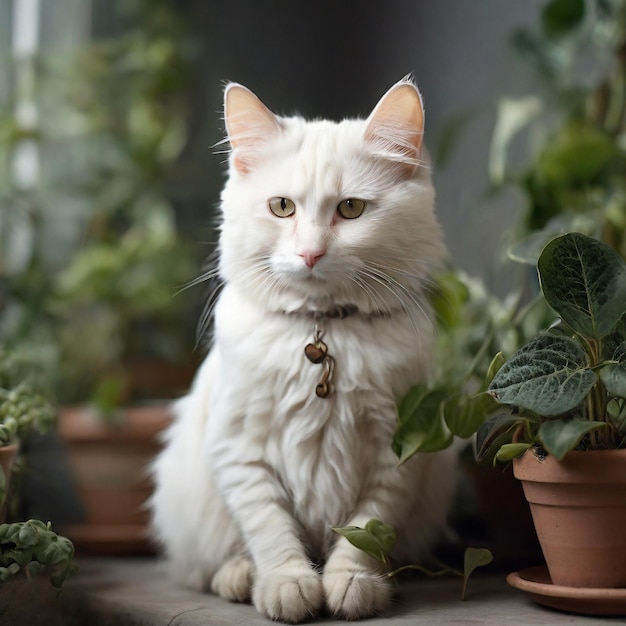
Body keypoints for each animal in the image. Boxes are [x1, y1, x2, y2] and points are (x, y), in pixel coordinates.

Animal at [149, 77, 456, 620]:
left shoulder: (398, 450)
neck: (323, 327)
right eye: (282, 208)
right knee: (211, 564)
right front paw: (288, 585)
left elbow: (365, 532)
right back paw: (239, 578)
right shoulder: (240, 449)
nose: (310, 253)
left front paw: (351, 583)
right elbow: (271, 531)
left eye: (351, 209)